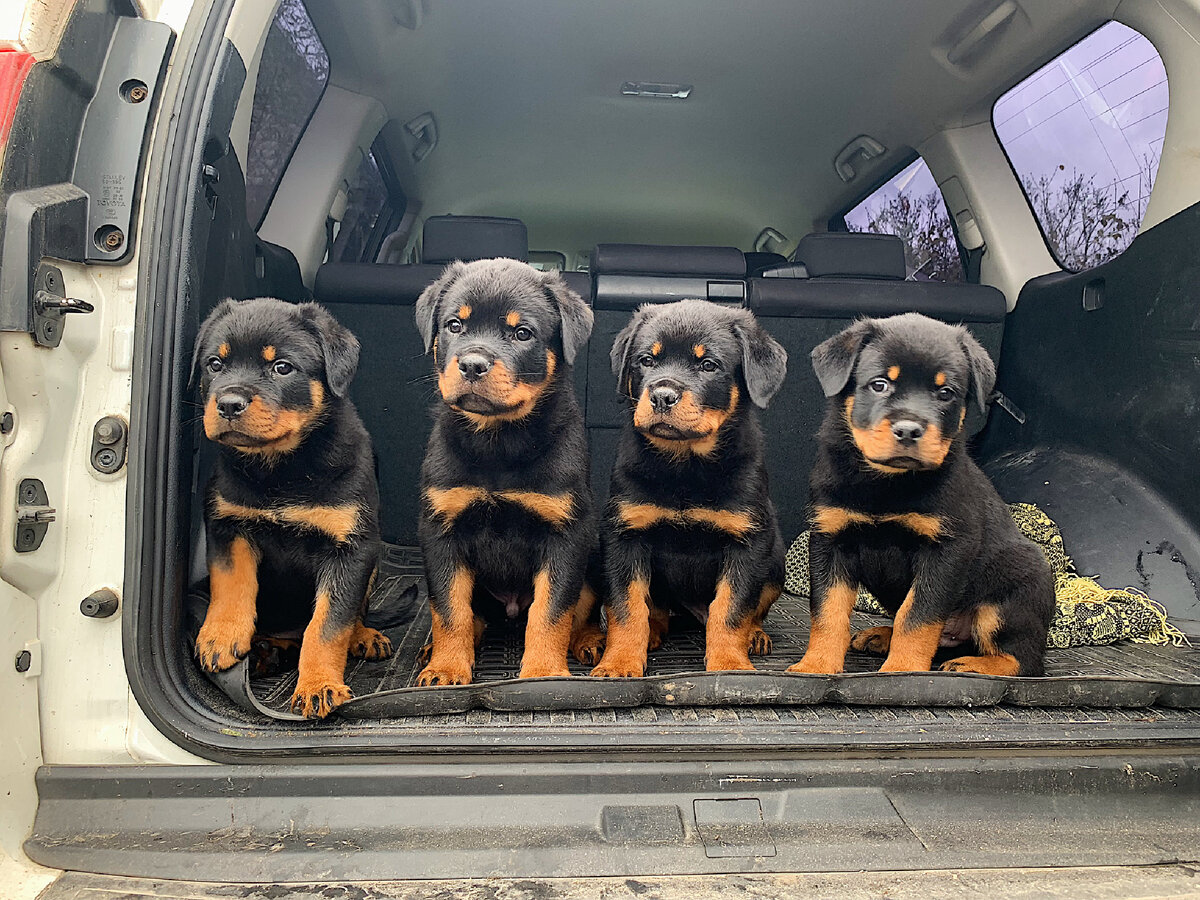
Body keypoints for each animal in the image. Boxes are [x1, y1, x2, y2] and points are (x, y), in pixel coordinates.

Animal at [193, 300, 388, 724]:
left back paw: (362, 637)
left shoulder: (350, 546)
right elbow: (231, 586)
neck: (280, 468)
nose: (228, 404)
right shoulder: (229, 526)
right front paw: (220, 637)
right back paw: (265, 652)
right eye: (215, 364)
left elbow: (328, 624)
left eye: (282, 367)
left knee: (347, 616)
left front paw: (318, 685)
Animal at [415, 256, 597, 686]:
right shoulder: (441, 528)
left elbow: (552, 611)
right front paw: (446, 669)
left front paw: (544, 672)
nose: (471, 364)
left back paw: (589, 641)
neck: (497, 441)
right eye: (455, 325)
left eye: (522, 332)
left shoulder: (566, 531)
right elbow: (448, 608)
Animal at [590, 300, 787, 681]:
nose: (661, 395)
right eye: (646, 361)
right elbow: (627, 607)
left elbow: (731, 609)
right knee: (656, 610)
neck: (684, 466)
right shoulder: (626, 535)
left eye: (708, 365)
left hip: (773, 562)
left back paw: (755, 636)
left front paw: (730, 664)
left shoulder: (746, 540)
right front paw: (619, 663)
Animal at [792, 314, 1056, 676]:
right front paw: (816, 666)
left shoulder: (947, 548)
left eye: (945, 393)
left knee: (1022, 660)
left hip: (1011, 594)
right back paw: (881, 636)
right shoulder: (831, 537)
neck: (886, 483)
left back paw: (971, 665)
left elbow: (918, 615)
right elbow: (827, 611)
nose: (908, 430)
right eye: (879, 384)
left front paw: (902, 671)